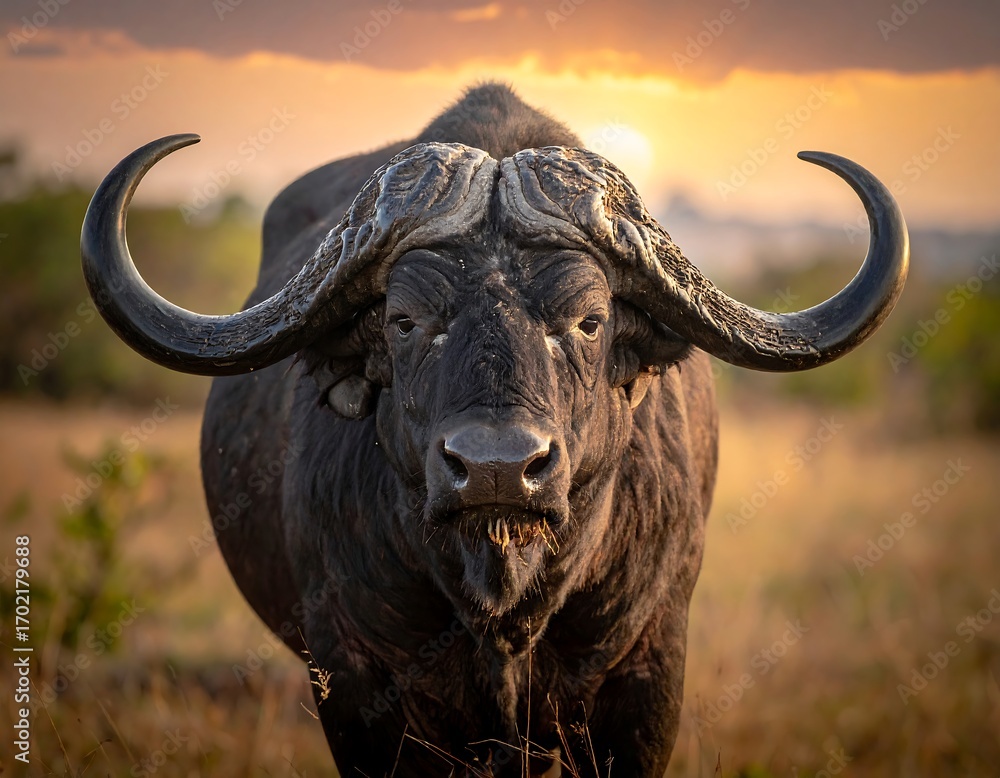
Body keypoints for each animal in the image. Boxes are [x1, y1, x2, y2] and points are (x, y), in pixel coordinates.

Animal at [81, 84, 908, 776]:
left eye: (590, 320)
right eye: (404, 319)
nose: (497, 470)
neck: (504, 598)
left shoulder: (649, 667)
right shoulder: (353, 678)